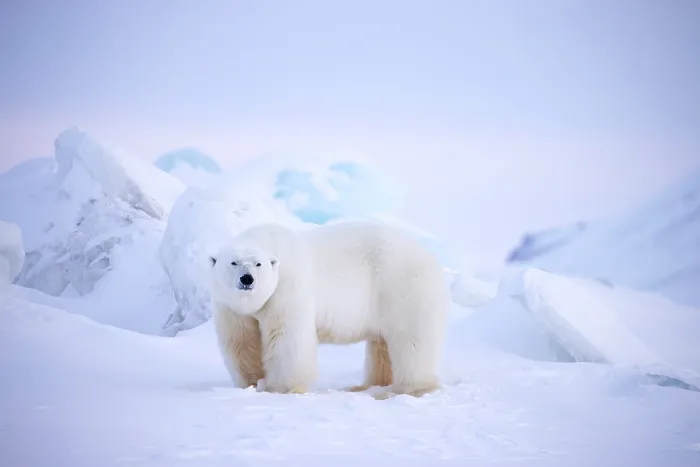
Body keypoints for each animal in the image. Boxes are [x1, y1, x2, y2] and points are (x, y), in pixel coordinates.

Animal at [207, 220, 449, 399]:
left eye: (258, 264)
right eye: (233, 262)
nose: (247, 279)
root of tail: (430, 256)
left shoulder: (287, 288)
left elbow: (286, 337)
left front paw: (282, 389)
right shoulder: (229, 307)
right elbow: (241, 341)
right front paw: (251, 384)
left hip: (402, 285)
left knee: (412, 339)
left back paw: (410, 389)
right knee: (381, 343)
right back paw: (365, 386)